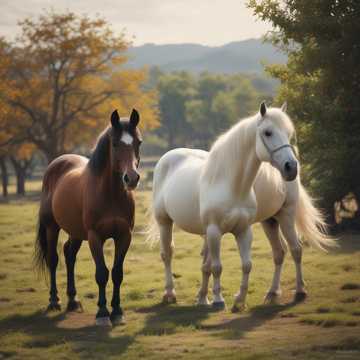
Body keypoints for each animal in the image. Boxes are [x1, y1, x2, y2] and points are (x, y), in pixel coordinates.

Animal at [34, 108, 142, 324]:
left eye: (139, 142)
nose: (132, 178)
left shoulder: (124, 236)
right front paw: (102, 313)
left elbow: (117, 273)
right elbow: (101, 273)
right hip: (52, 227)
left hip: (75, 232)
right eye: (115, 143)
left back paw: (73, 301)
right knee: (53, 259)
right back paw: (54, 301)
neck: (110, 194)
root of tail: (56, 164)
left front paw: (117, 311)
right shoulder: (94, 236)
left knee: (69, 255)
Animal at [148, 102, 334, 312]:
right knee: (167, 254)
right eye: (268, 132)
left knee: (285, 251)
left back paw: (281, 292)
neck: (232, 185)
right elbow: (216, 266)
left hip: (277, 218)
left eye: (289, 133)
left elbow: (245, 265)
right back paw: (170, 294)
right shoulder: (214, 231)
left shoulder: (243, 230)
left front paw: (239, 300)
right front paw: (218, 300)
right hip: (165, 221)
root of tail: (166, 158)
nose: (291, 167)